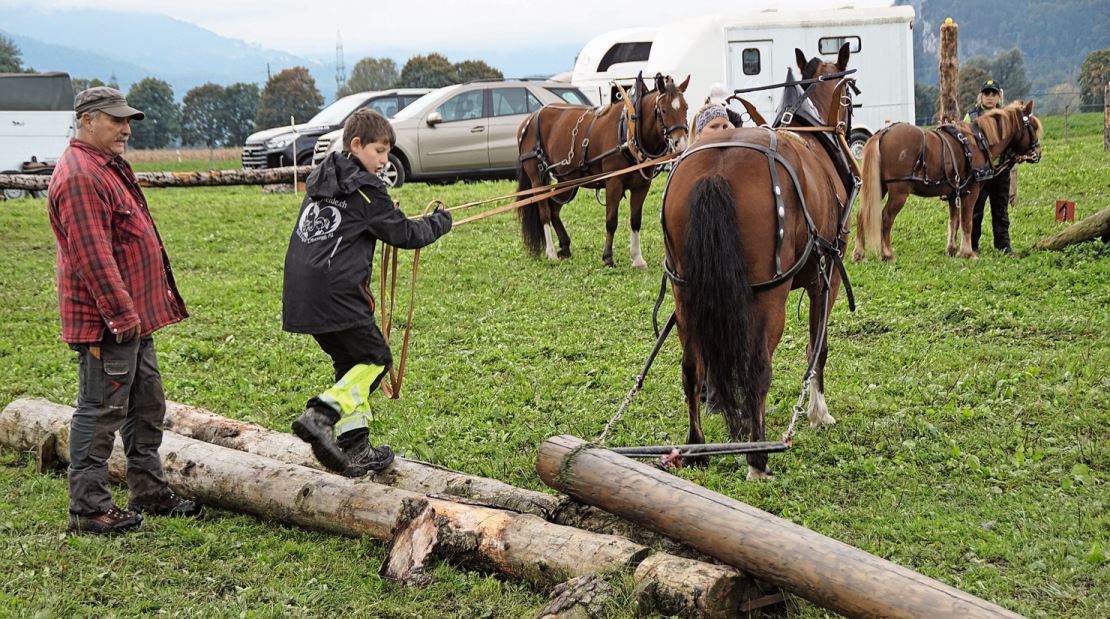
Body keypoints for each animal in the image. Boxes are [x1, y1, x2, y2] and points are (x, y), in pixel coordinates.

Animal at [517, 73, 683, 268]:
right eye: (663, 110)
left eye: (686, 108)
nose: (680, 142)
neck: (629, 129)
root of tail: (530, 118)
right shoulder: (613, 182)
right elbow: (611, 221)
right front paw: (608, 257)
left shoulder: (642, 186)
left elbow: (636, 221)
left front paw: (637, 258)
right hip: (537, 178)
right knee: (544, 211)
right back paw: (551, 252)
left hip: (567, 180)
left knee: (553, 209)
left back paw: (565, 246)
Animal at [657, 44, 856, 481]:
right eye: (849, 95)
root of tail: (716, 170)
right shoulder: (827, 279)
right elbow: (818, 346)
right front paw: (819, 412)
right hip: (769, 295)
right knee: (757, 367)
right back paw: (757, 457)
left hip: (684, 292)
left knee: (691, 366)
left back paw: (696, 448)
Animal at [852, 100, 1043, 260]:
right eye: (1032, 127)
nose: (1038, 153)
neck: (978, 141)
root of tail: (883, 133)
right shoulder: (970, 192)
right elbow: (967, 222)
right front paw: (968, 253)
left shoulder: (954, 193)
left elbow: (954, 221)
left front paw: (952, 249)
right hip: (899, 192)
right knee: (886, 217)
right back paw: (887, 254)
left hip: (879, 187)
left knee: (862, 214)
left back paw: (859, 254)